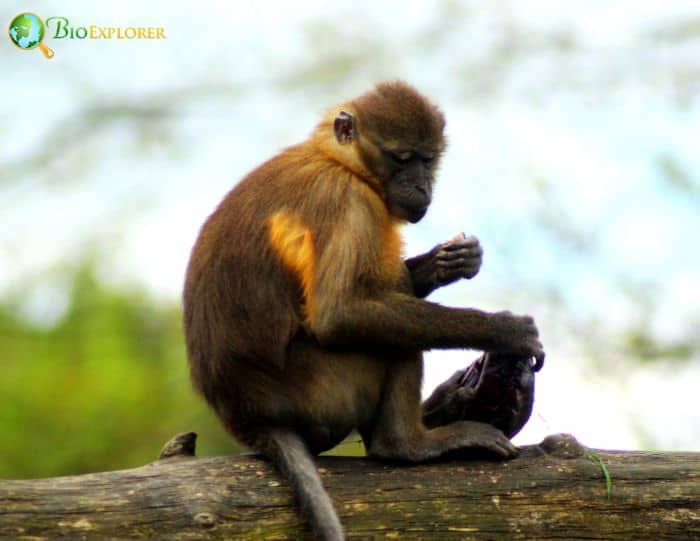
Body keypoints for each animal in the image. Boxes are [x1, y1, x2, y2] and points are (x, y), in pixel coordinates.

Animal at [183, 81, 544, 540]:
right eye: (402, 158)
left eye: (428, 159)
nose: (420, 186)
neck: (340, 162)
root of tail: (248, 416)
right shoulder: (347, 201)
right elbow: (340, 316)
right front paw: (504, 331)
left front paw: (450, 262)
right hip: (327, 391)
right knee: (386, 336)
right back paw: (405, 444)